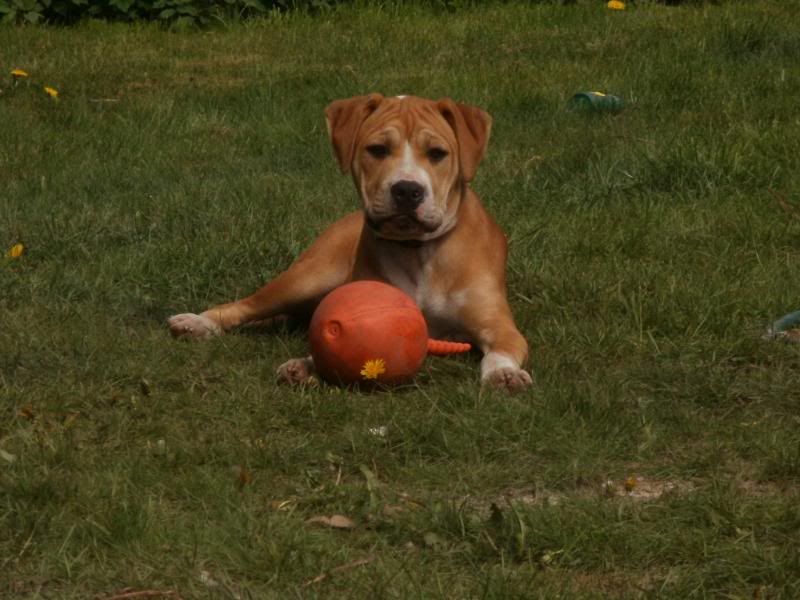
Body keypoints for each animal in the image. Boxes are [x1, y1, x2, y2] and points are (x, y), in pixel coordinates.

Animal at [168, 94, 532, 392]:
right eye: (377, 150)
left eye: (437, 154)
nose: (407, 190)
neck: (418, 252)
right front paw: (305, 365)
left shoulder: (498, 324)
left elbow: (500, 349)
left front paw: (503, 374)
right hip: (306, 277)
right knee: (247, 305)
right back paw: (197, 322)